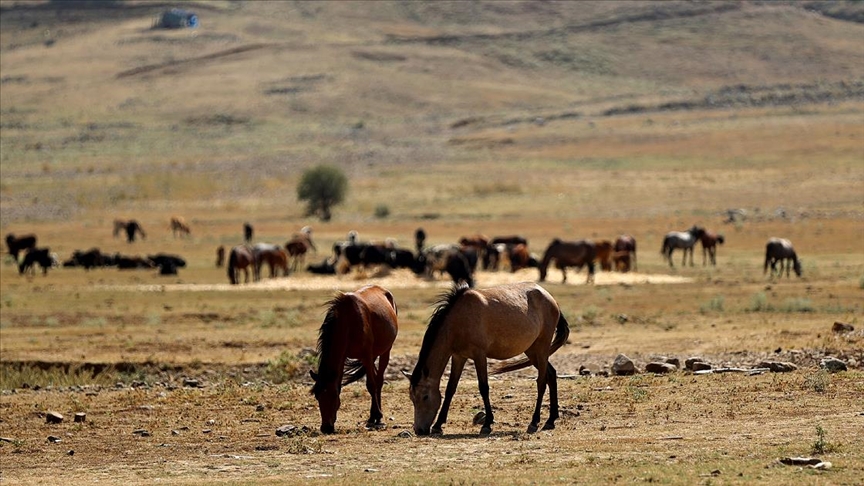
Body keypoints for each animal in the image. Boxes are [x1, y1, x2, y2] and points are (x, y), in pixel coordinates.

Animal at [308, 284, 400, 432]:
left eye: (333, 395)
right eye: (317, 396)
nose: (326, 428)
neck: (348, 322)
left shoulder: (366, 355)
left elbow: (371, 385)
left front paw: (376, 416)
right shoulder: (345, 357)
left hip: (385, 351)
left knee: (379, 380)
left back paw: (377, 417)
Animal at [406, 280, 572, 436]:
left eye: (425, 397)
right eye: (412, 398)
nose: (419, 430)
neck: (459, 319)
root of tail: (551, 299)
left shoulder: (479, 355)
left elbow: (483, 387)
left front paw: (487, 424)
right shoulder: (459, 356)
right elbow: (450, 388)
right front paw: (438, 425)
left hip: (541, 348)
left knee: (541, 382)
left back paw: (534, 422)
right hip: (532, 351)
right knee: (551, 375)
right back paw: (550, 420)